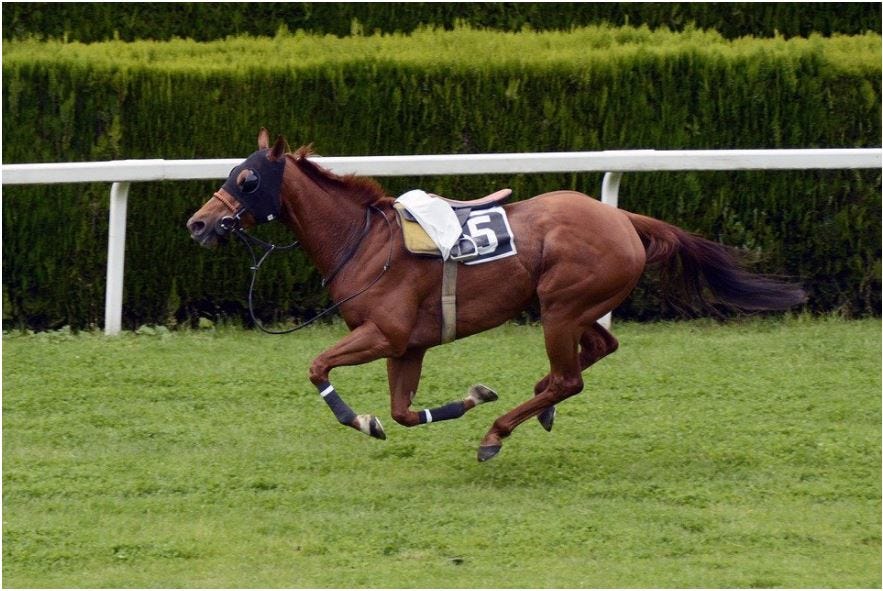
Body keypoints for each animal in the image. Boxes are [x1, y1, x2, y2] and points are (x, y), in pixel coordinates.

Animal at [186, 129, 806, 462]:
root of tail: (622, 217)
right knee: (598, 351)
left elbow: (319, 368)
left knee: (570, 377)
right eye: (233, 171)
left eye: (247, 179)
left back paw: (498, 433)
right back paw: (536, 406)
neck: (364, 242)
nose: (198, 224)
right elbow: (403, 412)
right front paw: (467, 398)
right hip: (572, 307)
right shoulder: (408, 345)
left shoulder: (382, 333)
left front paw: (361, 419)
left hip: (561, 306)